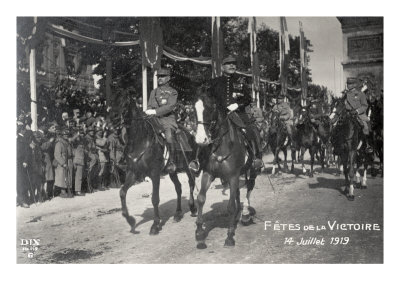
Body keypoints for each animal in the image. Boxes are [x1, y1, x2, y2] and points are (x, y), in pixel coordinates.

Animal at [119, 96, 199, 234]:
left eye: (125, 103)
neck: (140, 140)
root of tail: (189, 133)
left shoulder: (154, 173)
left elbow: (155, 199)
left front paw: (155, 225)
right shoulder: (133, 172)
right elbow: (122, 192)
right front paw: (131, 221)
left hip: (188, 167)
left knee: (191, 183)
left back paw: (193, 208)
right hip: (173, 171)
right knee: (178, 188)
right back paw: (178, 214)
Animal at [193, 94, 260, 248]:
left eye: (209, 109)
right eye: (194, 110)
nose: (200, 140)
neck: (221, 145)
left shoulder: (233, 176)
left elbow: (230, 206)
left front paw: (229, 236)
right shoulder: (208, 174)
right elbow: (200, 199)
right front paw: (200, 233)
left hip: (253, 170)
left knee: (249, 188)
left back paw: (245, 214)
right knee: (238, 193)